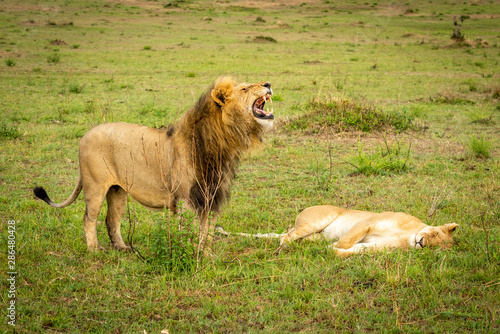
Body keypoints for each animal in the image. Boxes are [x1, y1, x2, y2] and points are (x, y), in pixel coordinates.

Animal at [33, 75, 276, 254]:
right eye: (244, 88)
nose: (268, 84)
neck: (222, 143)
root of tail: (84, 136)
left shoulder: (211, 196)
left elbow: (207, 233)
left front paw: (206, 256)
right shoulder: (188, 199)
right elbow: (191, 232)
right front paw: (191, 254)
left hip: (117, 191)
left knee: (112, 220)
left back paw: (123, 248)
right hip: (95, 187)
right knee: (89, 218)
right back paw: (94, 250)